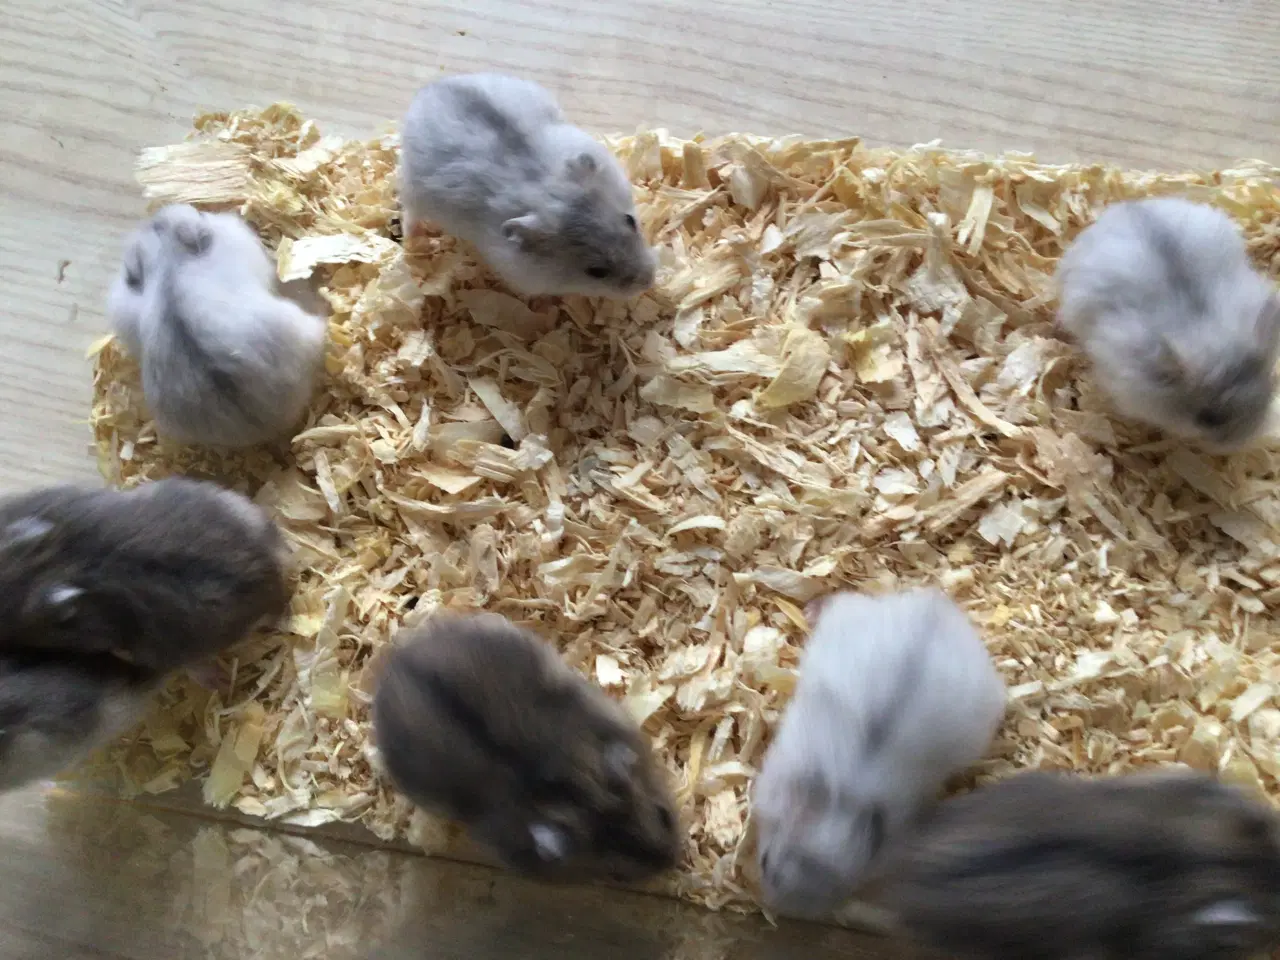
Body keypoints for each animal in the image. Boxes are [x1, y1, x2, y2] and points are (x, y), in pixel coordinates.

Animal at [398, 72, 657, 299]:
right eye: (596, 272)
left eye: (630, 220)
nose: (650, 281)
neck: (543, 189)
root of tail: (426, 91)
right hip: (414, 189)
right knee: (410, 213)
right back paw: (411, 239)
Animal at [751, 587, 1007, 918]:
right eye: (765, 862)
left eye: (841, 890)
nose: (777, 909)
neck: (841, 798)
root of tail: (937, 604)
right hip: (849, 615)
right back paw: (809, 609)